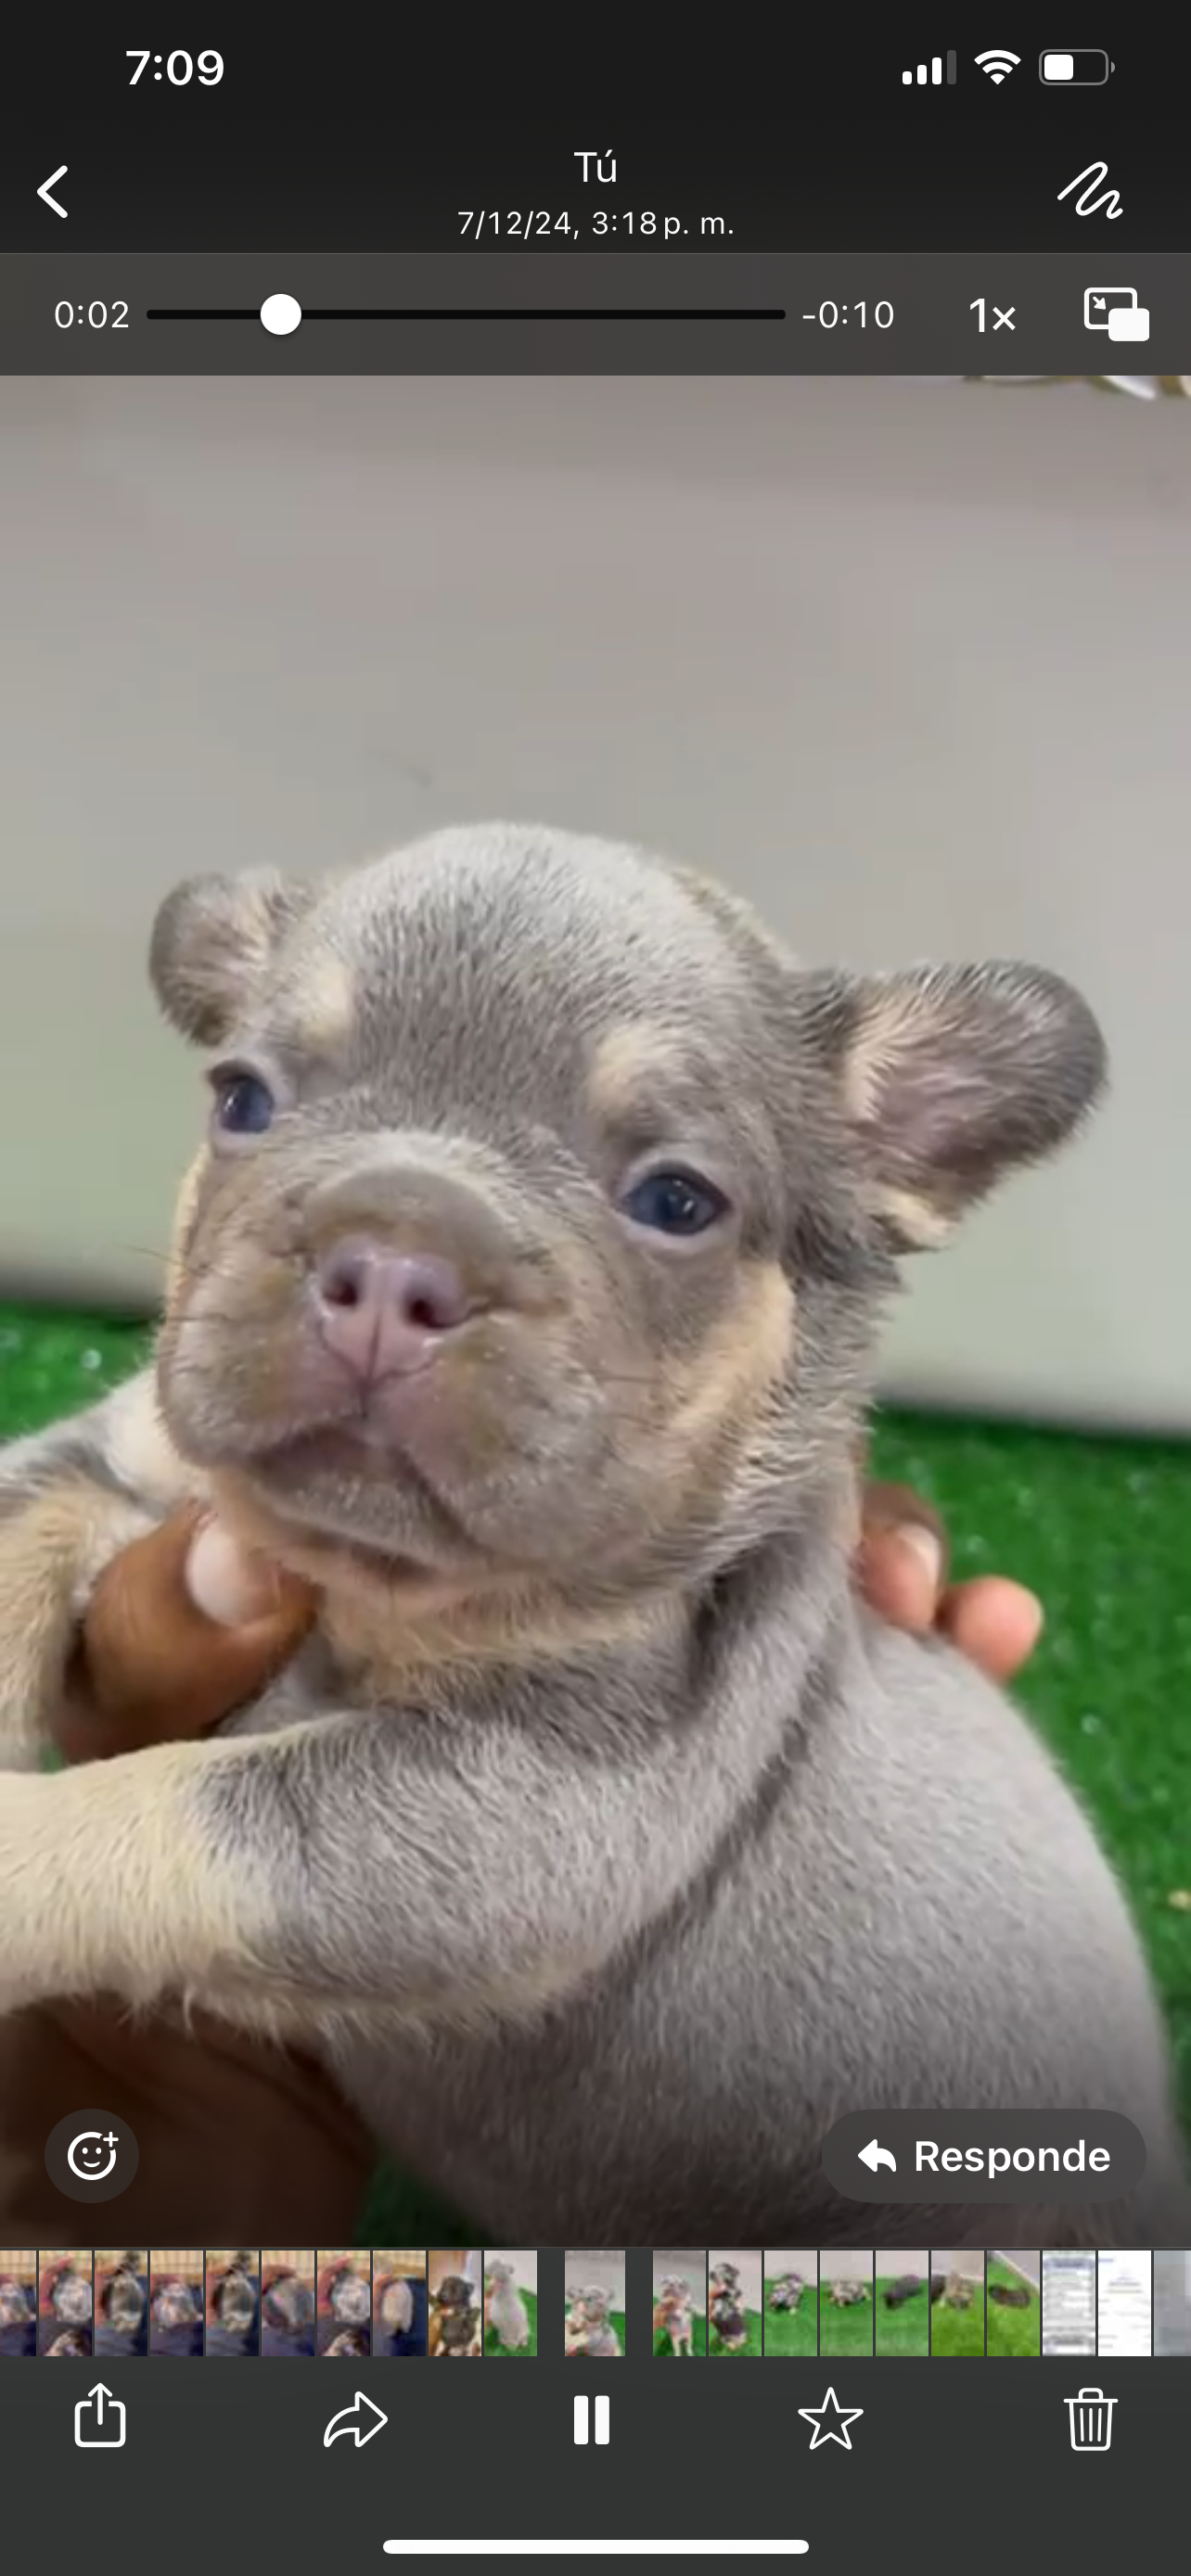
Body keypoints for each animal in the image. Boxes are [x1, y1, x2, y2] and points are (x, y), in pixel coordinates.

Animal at [0, 829, 1185, 2256]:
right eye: (243, 1100)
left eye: (675, 1200)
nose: (393, 1258)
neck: (370, 1581)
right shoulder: (132, 1462)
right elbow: (23, 1527)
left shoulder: (540, 1796)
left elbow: (171, 1805)